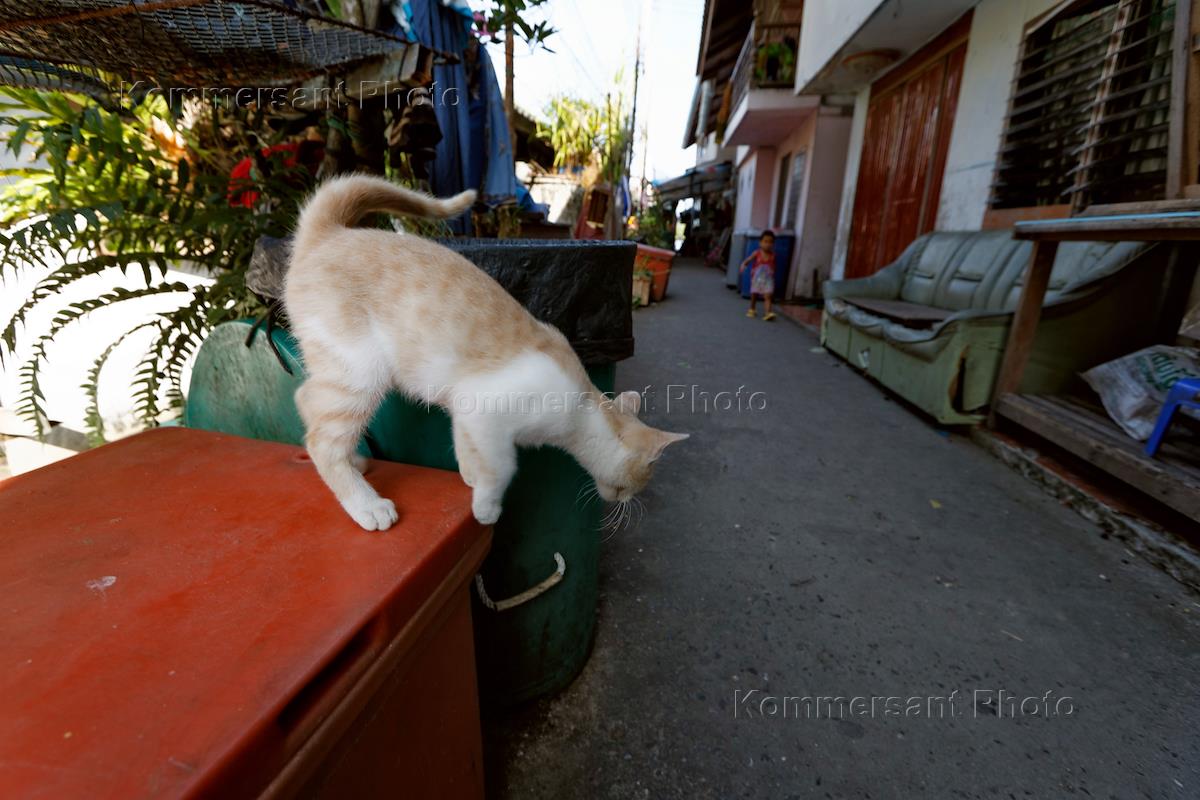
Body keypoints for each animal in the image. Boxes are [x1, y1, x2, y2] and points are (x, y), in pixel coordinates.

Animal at [284, 174, 689, 531]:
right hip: (361, 372)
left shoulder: (465, 411)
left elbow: (468, 447)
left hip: (340, 371)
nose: (630, 500)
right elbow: (503, 467)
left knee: (305, 399)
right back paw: (366, 504)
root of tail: (329, 234)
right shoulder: (486, 410)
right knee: (321, 441)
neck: (581, 409)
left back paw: (356, 459)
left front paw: (471, 478)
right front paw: (487, 506)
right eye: (644, 477)